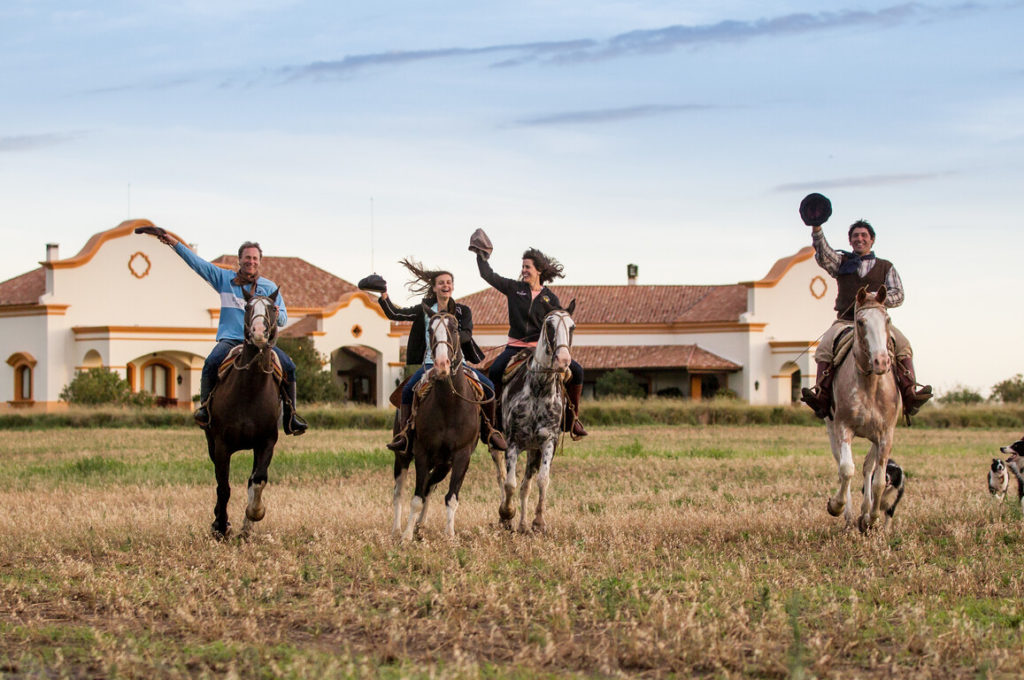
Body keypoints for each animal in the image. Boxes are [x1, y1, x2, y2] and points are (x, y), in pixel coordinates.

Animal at [206, 284, 284, 540]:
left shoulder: (266, 442)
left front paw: (253, 515)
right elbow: (223, 487)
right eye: (248, 307)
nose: (259, 332)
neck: (249, 389)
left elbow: (257, 480)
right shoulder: (221, 445)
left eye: (273, 308)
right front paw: (221, 526)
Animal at [395, 305, 483, 540]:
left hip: (443, 464)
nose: (442, 365)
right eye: (430, 331)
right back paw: (397, 528)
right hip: (402, 456)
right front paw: (406, 536)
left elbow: (450, 497)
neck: (449, 406)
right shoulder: (422, 453)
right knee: (399, 491)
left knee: (429, 487)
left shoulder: (461, 456)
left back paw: (421, 525)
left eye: (454, 328)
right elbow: (416, 498)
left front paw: (450, 536)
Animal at [489, 301, 573, 532]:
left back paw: (523, 525)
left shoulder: (548, 442)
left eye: (572, 327)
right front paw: (506, 513)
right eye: (550, 326)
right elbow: (509, 483)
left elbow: (542, 481)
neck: (539, 390)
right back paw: (506, 519)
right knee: (501, 475)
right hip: (496, 442)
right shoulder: (512, 442)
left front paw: (538, 522)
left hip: (533, 450)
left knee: (525, 485)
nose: (563, 361)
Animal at [827, 284, 901, 532]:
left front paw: (871, 518)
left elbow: (878, 480)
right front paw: (837, 506)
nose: (881, 362)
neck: (870, 384)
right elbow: (846, 469)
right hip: (831, 429)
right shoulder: (843, 428)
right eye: (860, 322)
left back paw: (865, 512)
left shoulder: (886, 434)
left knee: (869, 468)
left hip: (875, 438)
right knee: (843, 465)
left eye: (887, 319)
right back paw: (849, 516)